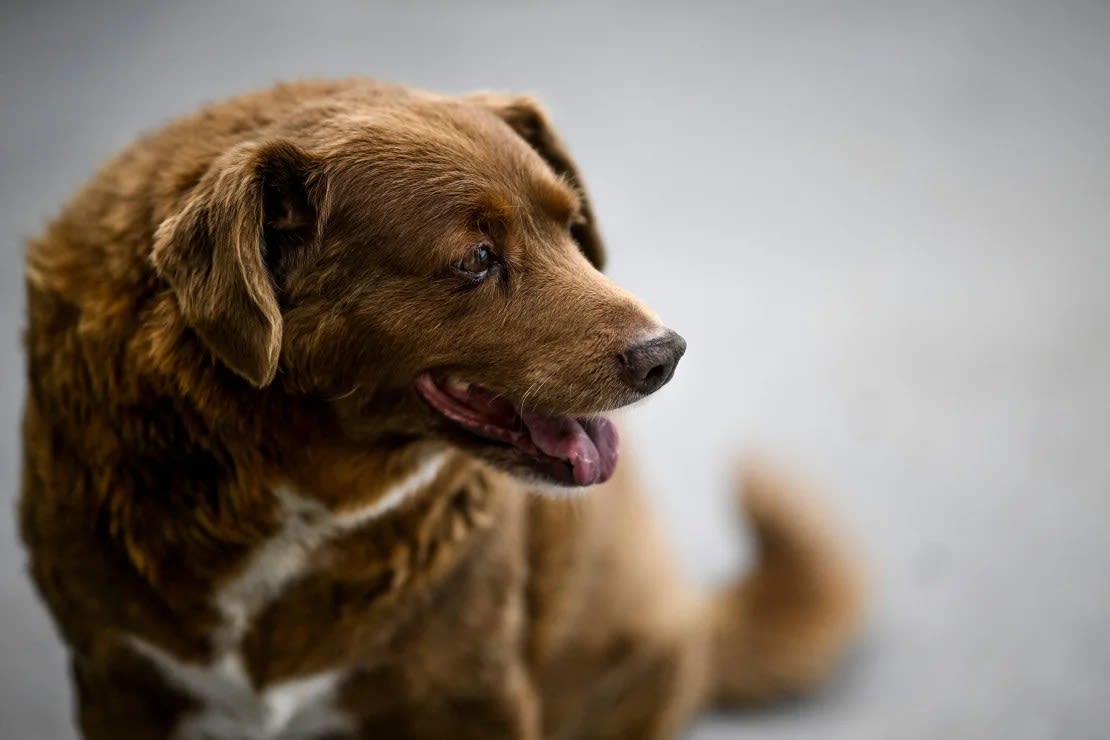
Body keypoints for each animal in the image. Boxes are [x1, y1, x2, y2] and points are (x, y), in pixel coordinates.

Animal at [19, 76, 865, 740]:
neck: (296, 490)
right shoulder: (120, 680)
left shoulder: (469, 695)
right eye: (477, 259)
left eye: (571, 225)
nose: (666, 354)